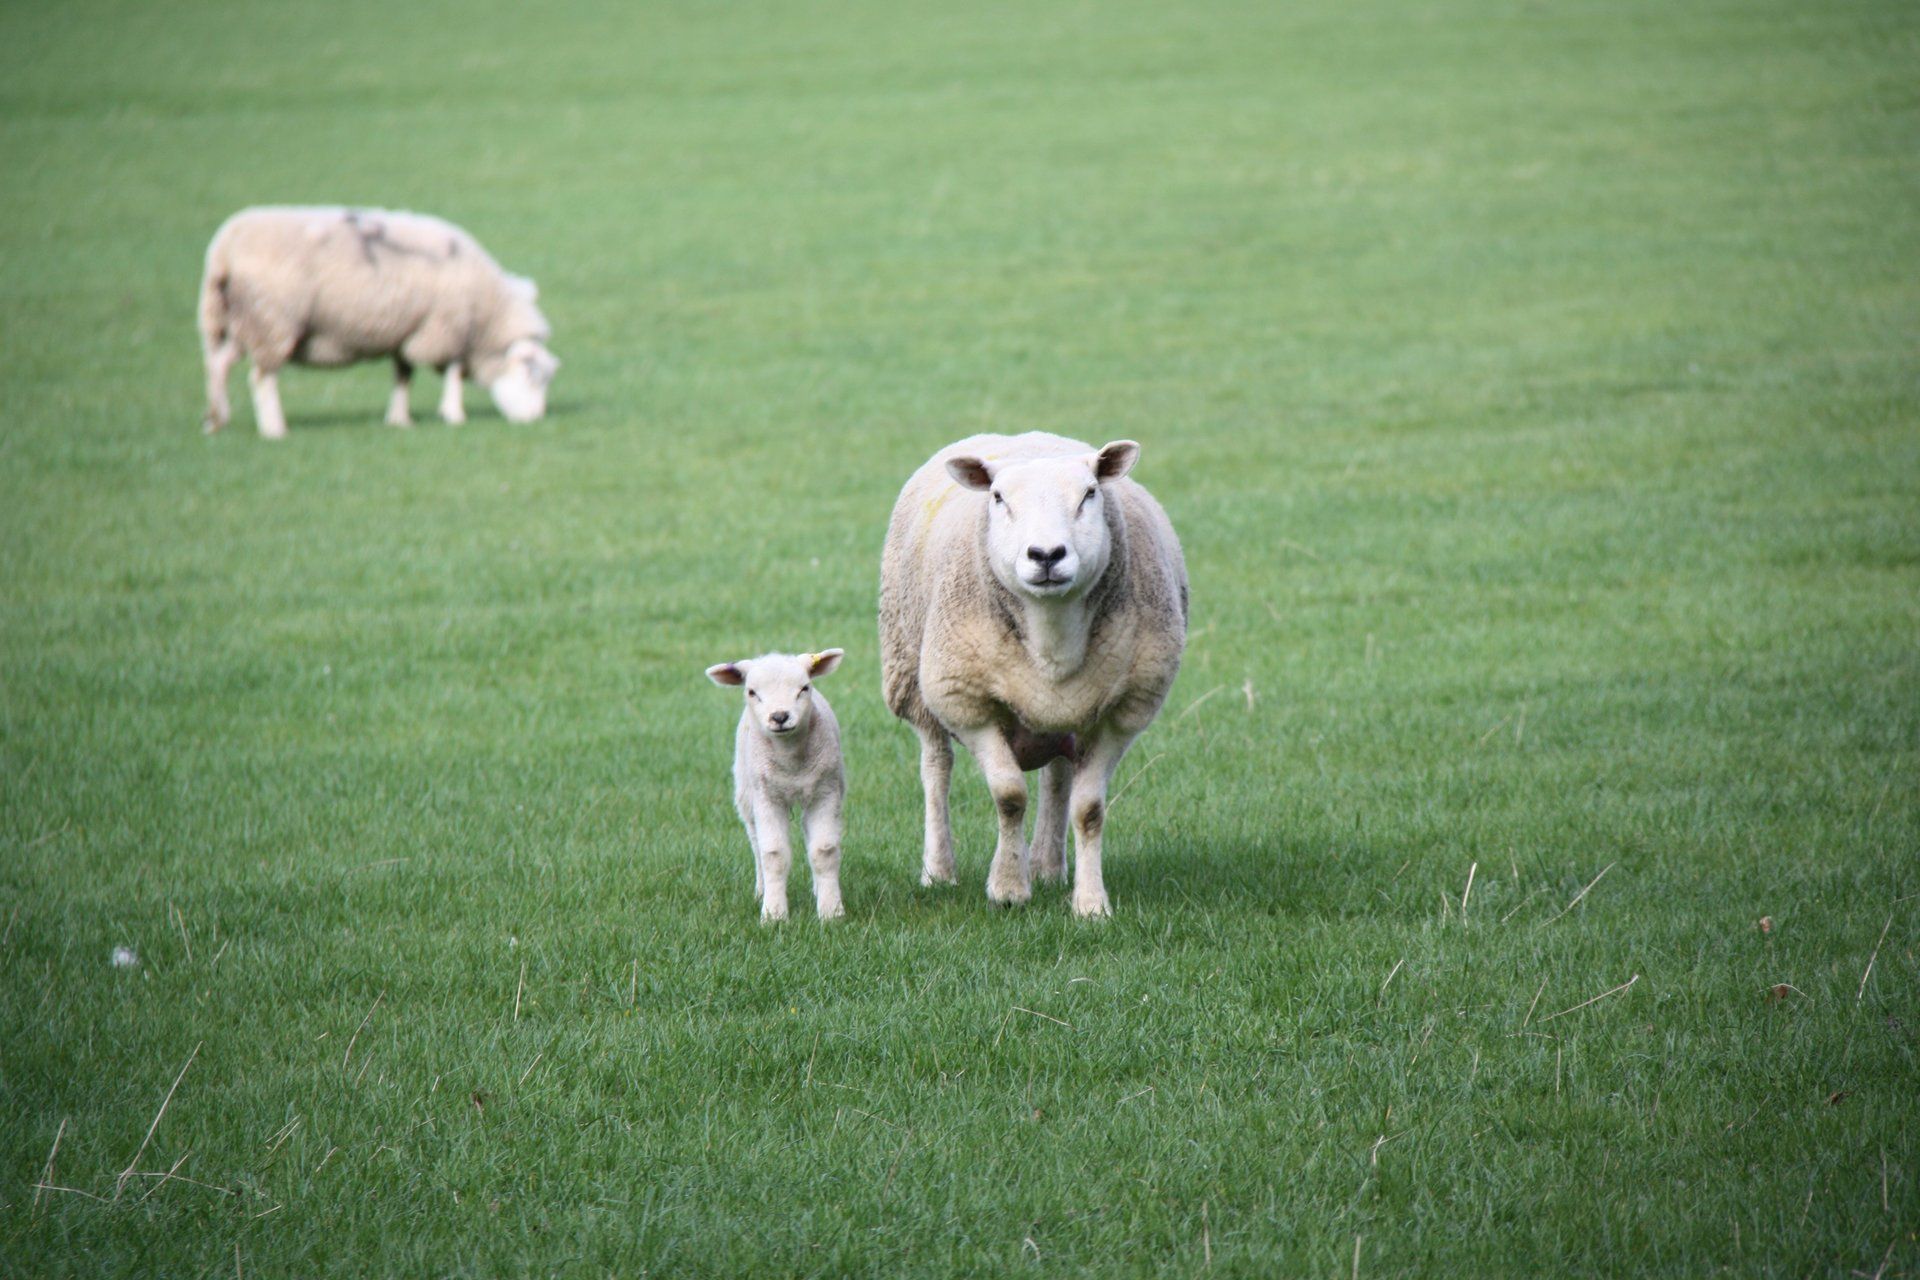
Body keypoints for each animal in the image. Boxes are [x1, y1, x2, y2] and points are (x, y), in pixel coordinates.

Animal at [197, 206, 560, 439]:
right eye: (534, 375)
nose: (535, 419)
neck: (487, 320)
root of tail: (223, 252)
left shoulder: (408, 331)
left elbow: (404, 375)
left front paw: (399, 419)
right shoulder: (447, 327)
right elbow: (454, 372)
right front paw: (454, 414)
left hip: (229, 320)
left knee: (218, 365)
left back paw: (216, 419)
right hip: (271, 320)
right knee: (261, 377)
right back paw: (274, 429)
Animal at [706, 650, 848, 921]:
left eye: (804, 688)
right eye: (752, 692)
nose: (780, 716)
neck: (790, 760)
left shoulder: (825, 792)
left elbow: (823, 851)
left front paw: (831, 911)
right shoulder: (766, 796)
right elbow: (773, 853)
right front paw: (774, 914)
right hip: (746, 793)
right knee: (755, 842)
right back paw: (761, 891)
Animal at [880, 433, 1187, 917]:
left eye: (1090, 494)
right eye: (998, 498)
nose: (1046, 555)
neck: (1051, 637)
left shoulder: (1123, 712)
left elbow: (1089, 809)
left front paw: (1090, 903)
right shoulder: (969, 704)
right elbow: (1009, 797)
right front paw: (1008, 889)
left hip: (1064, 714)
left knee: (1057, 777)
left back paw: (1047, 866)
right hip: (913, 679)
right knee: (936, 768)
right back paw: (939, 870)